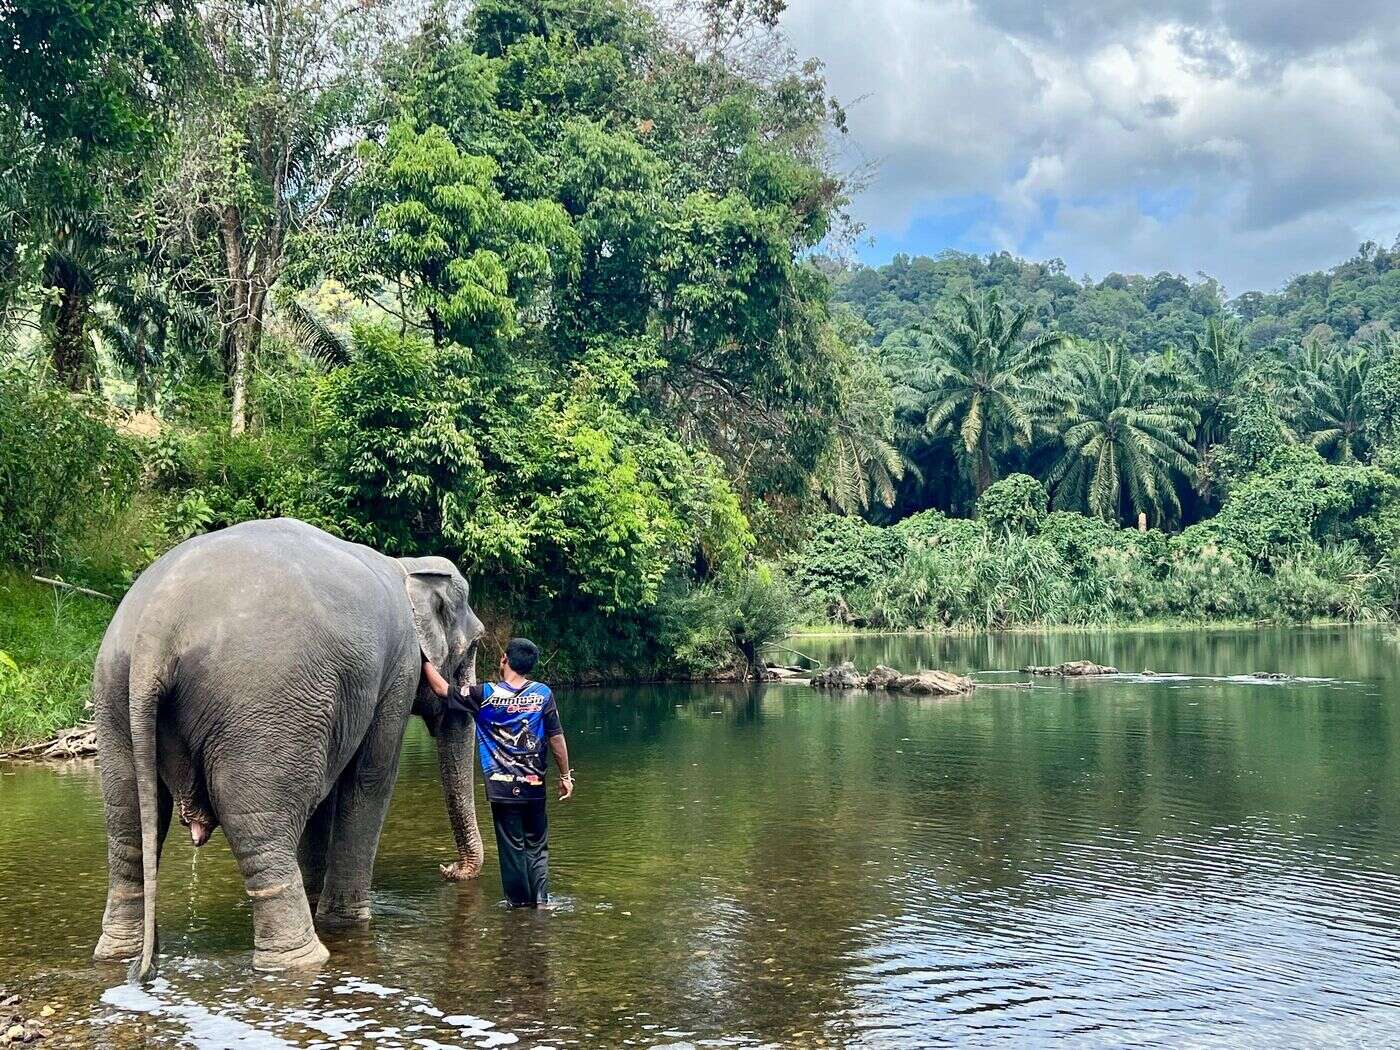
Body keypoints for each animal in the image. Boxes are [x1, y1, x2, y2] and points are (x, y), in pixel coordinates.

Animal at [91, 518, 487, 980]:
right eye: (475, 647)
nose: (449, 869)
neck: (408, 566)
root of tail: (157, 628)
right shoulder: (398, 672)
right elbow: (369, 780)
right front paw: (346, 921)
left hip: (114, 696)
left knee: (128, 824)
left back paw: (119, 954)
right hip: (261, 710)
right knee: (263, 827)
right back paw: (300, 959)